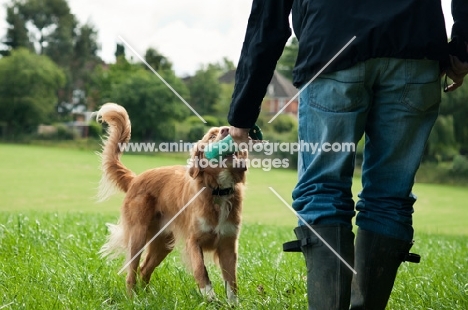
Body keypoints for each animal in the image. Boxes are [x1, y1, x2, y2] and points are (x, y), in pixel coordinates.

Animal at [96, 103, 247, 302]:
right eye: (211, 136)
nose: (227, 130)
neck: (218, 191)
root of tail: (136, 179)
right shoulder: (193, 240)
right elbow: (201, 270)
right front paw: (209, 296)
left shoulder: (228, 244)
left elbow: (232, 282)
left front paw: (232, 304)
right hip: (138, 235)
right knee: (132, 271)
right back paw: (132, 299)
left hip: (163, 241)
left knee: (144, 269)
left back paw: (147, 298)